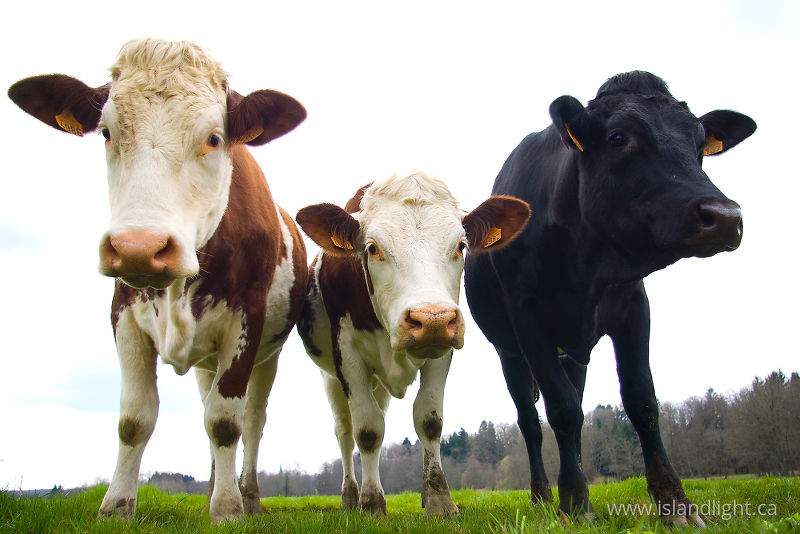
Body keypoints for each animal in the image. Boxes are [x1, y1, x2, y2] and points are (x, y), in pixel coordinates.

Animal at [7, 39, 308, 522]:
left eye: (213, 138)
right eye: (106, 133)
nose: (138, 247)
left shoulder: (247, 321)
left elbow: (226, 421)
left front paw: (228, 509)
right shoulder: (123, 316)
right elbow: (135, 419)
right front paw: (116, 505)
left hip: (268, 356)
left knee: (252, 422)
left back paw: (248, 496)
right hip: (207, 360)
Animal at [294, 171, 530, 516]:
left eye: (461, 246)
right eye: (372, 248)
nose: (432, 319)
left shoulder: (441, 349)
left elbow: (428, 419)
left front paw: (438, 499)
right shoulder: (347, 353)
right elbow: (367, 429)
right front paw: (371, 503)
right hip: (330, 379)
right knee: (345, 432)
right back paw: (350, 496)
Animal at [464, 71, 756, 526]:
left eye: (699, 143)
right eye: (619, 138)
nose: (725, 217)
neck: (585, 262)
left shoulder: (634, 307)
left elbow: (640, 399)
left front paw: (675, 504)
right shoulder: (528, 319)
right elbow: (560, 409)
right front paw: (575, 504)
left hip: (573, 352)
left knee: (576, 405)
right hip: (508, 351)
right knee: (531, 421)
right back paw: (543, 497)